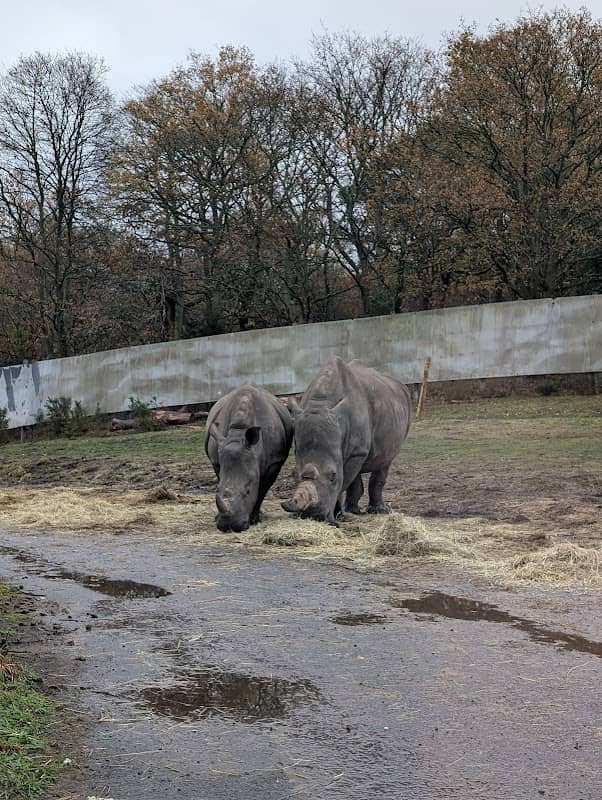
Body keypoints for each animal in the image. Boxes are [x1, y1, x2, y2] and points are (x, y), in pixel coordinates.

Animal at [205, 384, 293, 532]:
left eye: (247, 491)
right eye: (216, 490)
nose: (229, 526)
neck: (239, 432)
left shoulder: (274, 461)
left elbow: (262, 490)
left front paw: (254, 519)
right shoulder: (216, 459)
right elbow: (221, 478)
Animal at [282, 358, 411, 525]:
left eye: (333, 475)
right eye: (293, 474)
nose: (313, 517)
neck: (321, 404)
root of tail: (399, 384)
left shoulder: (357, 452)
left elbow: (343, 481)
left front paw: (337, 516)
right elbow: (347, 480)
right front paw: (341, 514)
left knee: (385, 461)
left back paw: (378, 511)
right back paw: (354, 510)